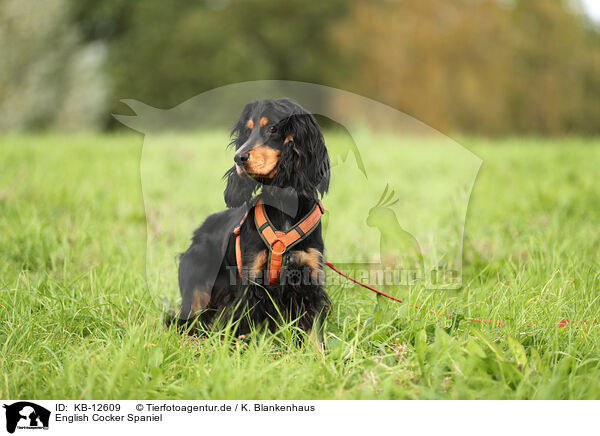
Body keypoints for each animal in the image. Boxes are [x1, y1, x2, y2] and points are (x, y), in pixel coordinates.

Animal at [170, 97, 332, 342]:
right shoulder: (251, 280)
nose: (239, 157)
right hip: (198, 289)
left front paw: (316, 352)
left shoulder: (308, 277)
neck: (284, 203)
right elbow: (243, 328)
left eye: (272, 128)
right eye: (247, 131)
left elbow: (313, 332)